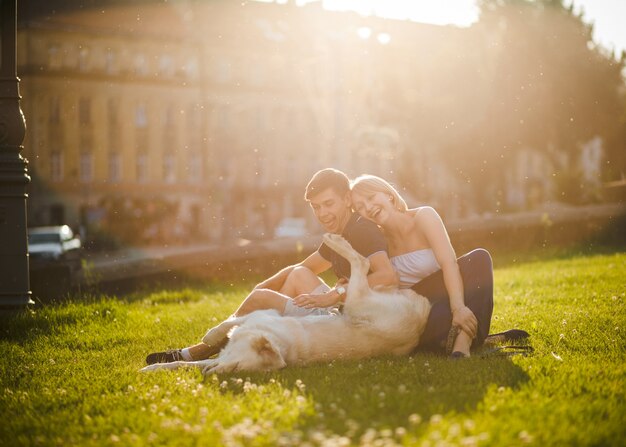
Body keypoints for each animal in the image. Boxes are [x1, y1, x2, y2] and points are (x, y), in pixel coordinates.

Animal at [141, 234, 428, 374]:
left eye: (238, 370)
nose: (209, 375)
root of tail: (422, 315)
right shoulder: (258, 317)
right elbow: (219, 332)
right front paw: (156, 367)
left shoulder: (264, 313)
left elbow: (231, 323)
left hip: (358, 302)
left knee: (363, 262)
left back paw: (338, 242)